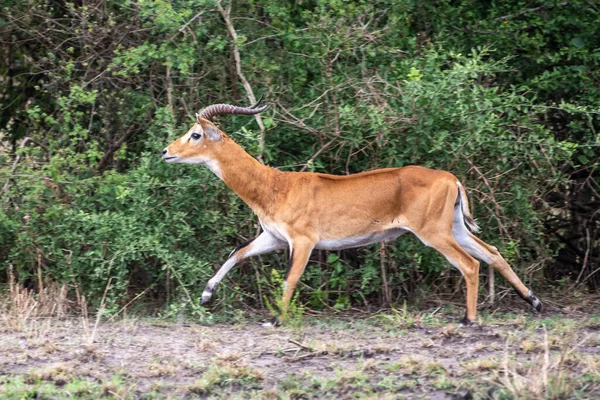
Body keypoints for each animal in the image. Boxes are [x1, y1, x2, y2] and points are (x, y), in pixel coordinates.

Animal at [161, 99, 544, 324]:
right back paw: (534, 302)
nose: (166, 151)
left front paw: (276, 319)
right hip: (456, 228)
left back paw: (469, 319)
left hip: (433, 233)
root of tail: (451, 178)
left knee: (470, 264)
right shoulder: (272, 238)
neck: (275, 186)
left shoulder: (303, 242)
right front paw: (206, 296)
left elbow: (289, 279)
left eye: (195, 134)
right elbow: (237, 253)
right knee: (493, 253)